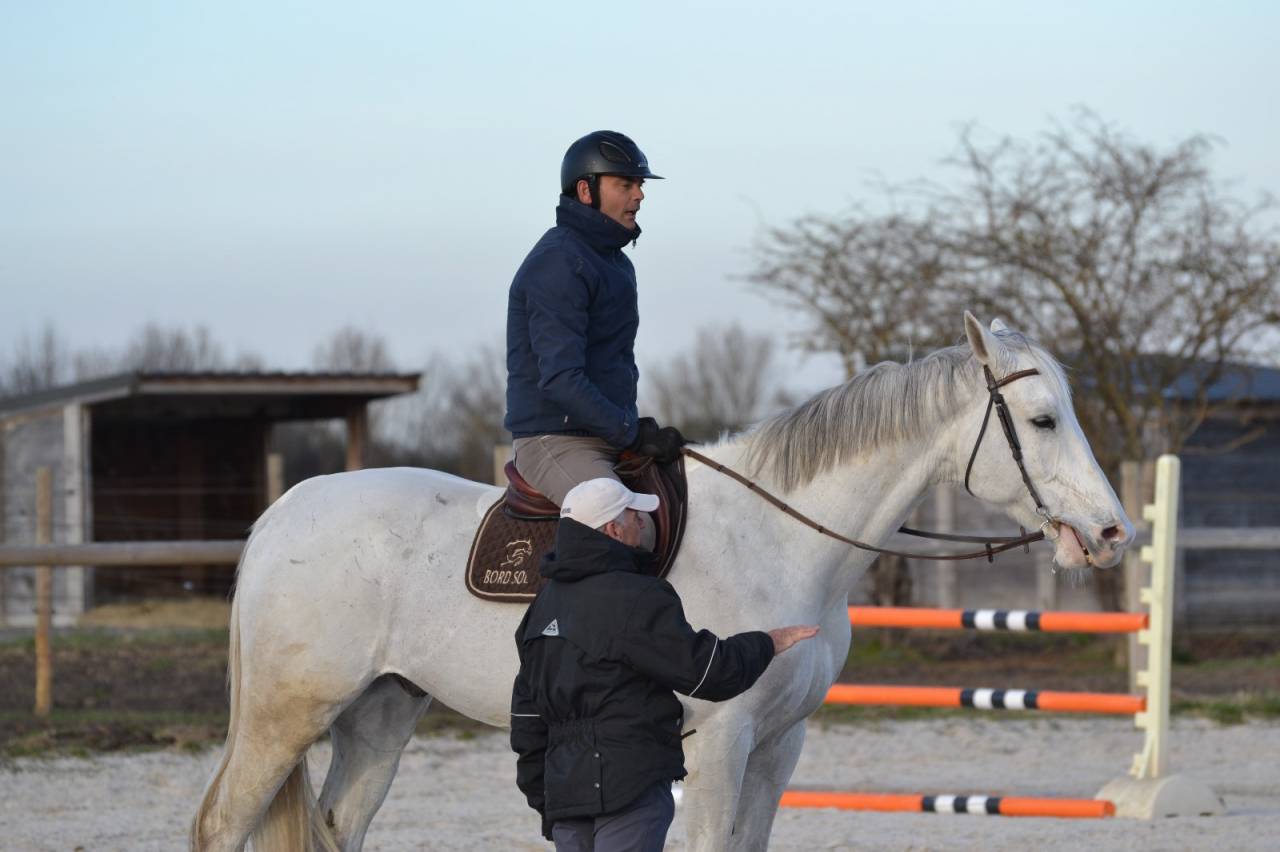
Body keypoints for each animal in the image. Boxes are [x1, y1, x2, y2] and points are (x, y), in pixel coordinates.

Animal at [191, 313, 1133, 851]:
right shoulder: (720, 743)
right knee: (221, 825)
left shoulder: (779, 746)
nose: (1113, 533)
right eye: (1042, 420)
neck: (779, 532)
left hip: (380, 717)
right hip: (286, 717)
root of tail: (285, 512)